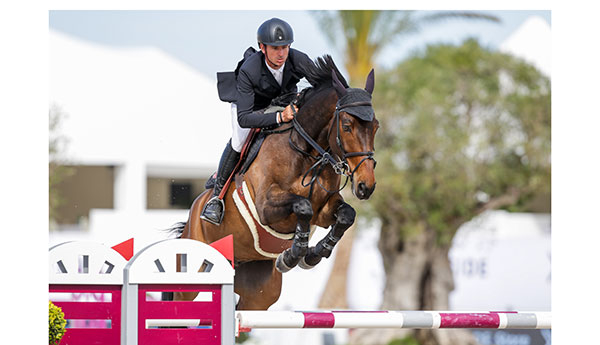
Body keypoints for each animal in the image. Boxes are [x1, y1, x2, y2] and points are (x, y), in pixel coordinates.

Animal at [171, 55, 378, 310]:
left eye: (376, 126)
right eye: (347, 126)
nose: (366, 186)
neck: (306, 152)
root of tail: (192, 215)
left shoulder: (325, 209)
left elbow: (346, 215)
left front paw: (312, 255)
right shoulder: (265, 208)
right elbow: (302, 206)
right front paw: (292, 256)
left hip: (258, 294)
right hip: (193, 275)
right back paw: (212, 209)